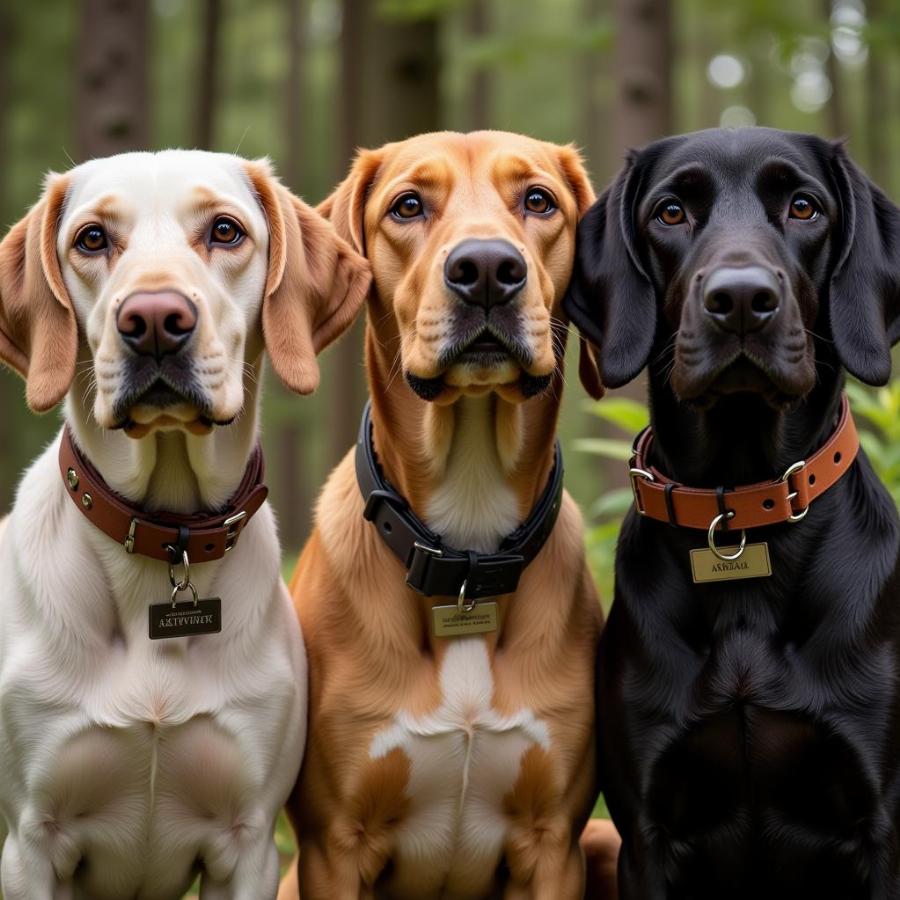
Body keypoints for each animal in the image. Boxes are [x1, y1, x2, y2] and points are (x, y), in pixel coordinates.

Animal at [0, 151, 370, 896]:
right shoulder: (30, 844)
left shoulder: (249, 843)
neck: (163, 537)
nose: (153, 319)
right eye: (91, 239)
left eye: (225, 230)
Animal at [280, 134, 620, 900]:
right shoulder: (332, 846)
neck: (467, 549)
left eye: (538, 200)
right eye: (408, 206)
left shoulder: (555, 843)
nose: (487, 270)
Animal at [568, 128, 900, 900]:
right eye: (670, 212)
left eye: (805, 206)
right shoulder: (647, 836)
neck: (743, 500)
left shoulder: (883, 827)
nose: (742, 299)